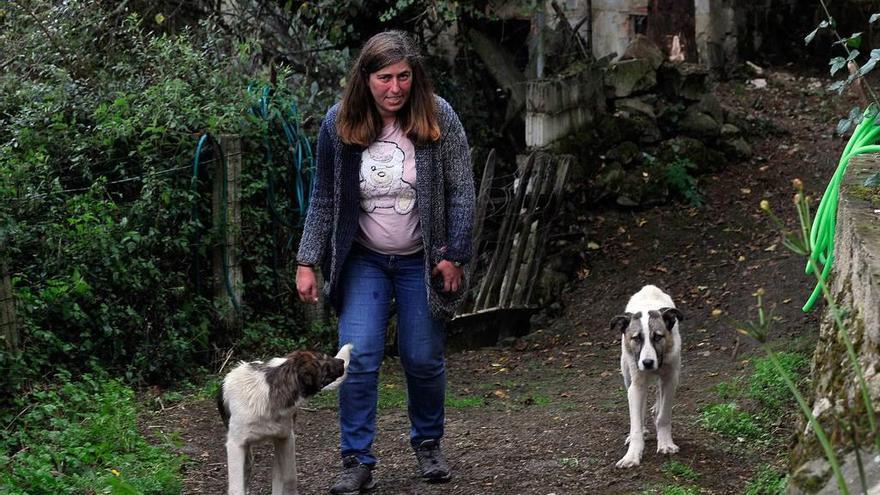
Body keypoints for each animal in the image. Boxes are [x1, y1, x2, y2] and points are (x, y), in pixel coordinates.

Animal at [218, 344, 352, 495]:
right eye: (322, 358)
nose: (342, 361)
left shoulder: (286, 438)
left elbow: (289, 478)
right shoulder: (236, 445)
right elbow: (237, 487)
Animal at [612, 286, 680, 468]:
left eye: (658, 336)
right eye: (636, 338)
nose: (648, 363)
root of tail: (649, 288)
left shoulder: (670, 379)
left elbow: (664, 416)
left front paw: (665, 444)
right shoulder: (636, 385)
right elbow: (636, 422)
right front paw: (632, 455)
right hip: (627, 374)